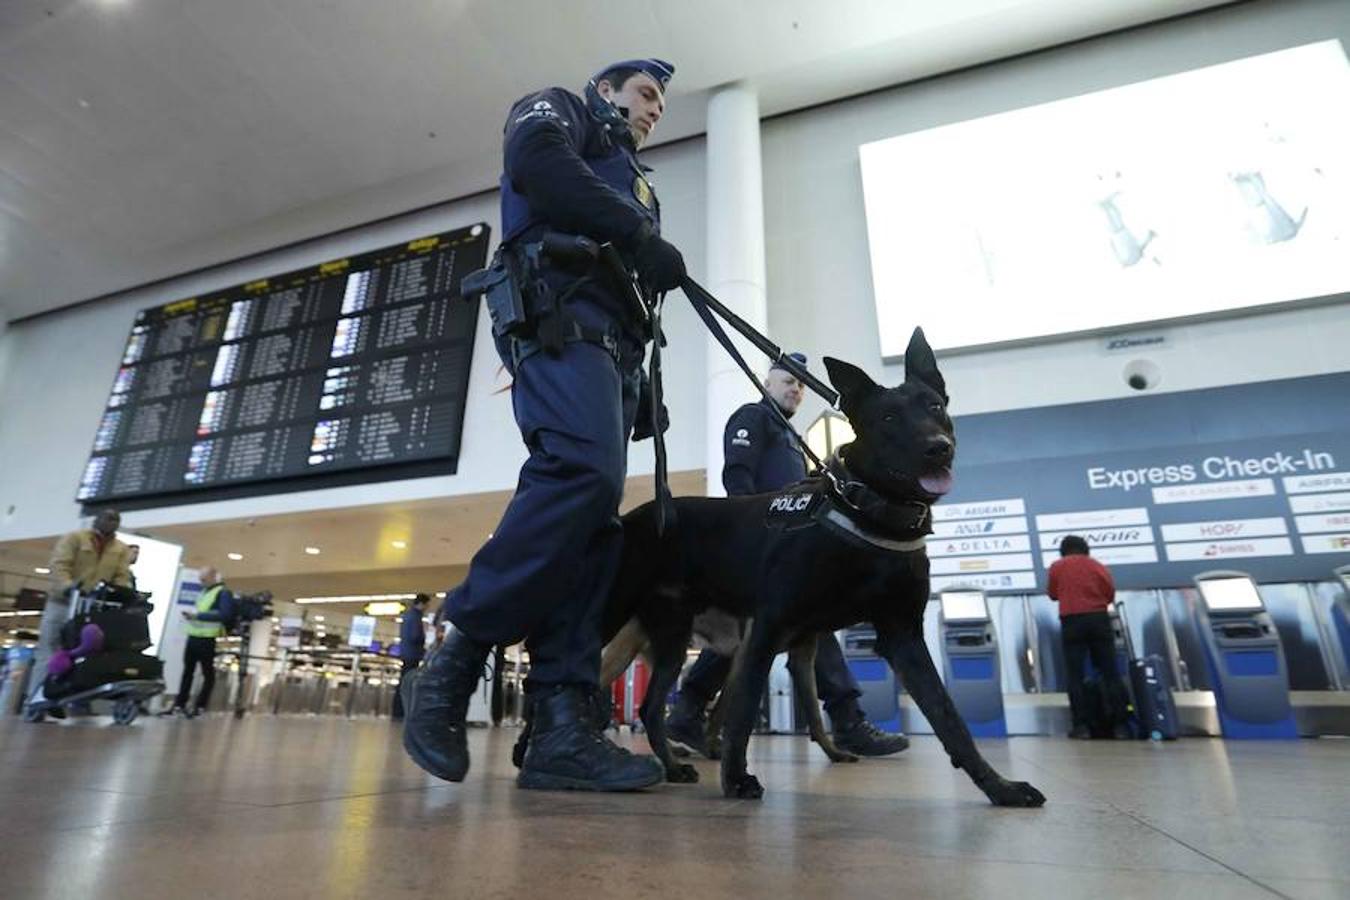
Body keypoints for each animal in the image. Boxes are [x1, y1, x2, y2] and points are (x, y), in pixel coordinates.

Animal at [599, 327, 1042, 804]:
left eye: (935, 407)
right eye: (888, 418)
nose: (937, 449)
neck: (867, 508)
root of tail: (635, 514)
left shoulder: (900, 637)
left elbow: (949, 718)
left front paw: (999, 786)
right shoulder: (769, 628)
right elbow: (741, 712)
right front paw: (735, 778)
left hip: (673, 640)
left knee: (650, 706)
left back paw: (671, 766)